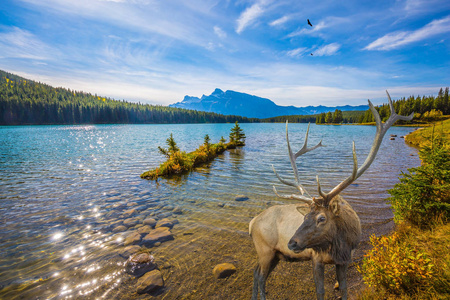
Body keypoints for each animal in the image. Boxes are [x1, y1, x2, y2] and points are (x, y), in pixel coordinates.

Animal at [250, 92, 414, 300]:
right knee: (261, 277)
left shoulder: (345, 260)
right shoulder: (316, 258)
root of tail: (252, 223)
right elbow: (320, 291)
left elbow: (343, 287)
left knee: (256, 273)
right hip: (266, 250)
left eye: (321, 218)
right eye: (304, 216)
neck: (339, 244)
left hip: (274, 255)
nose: (292, 242)